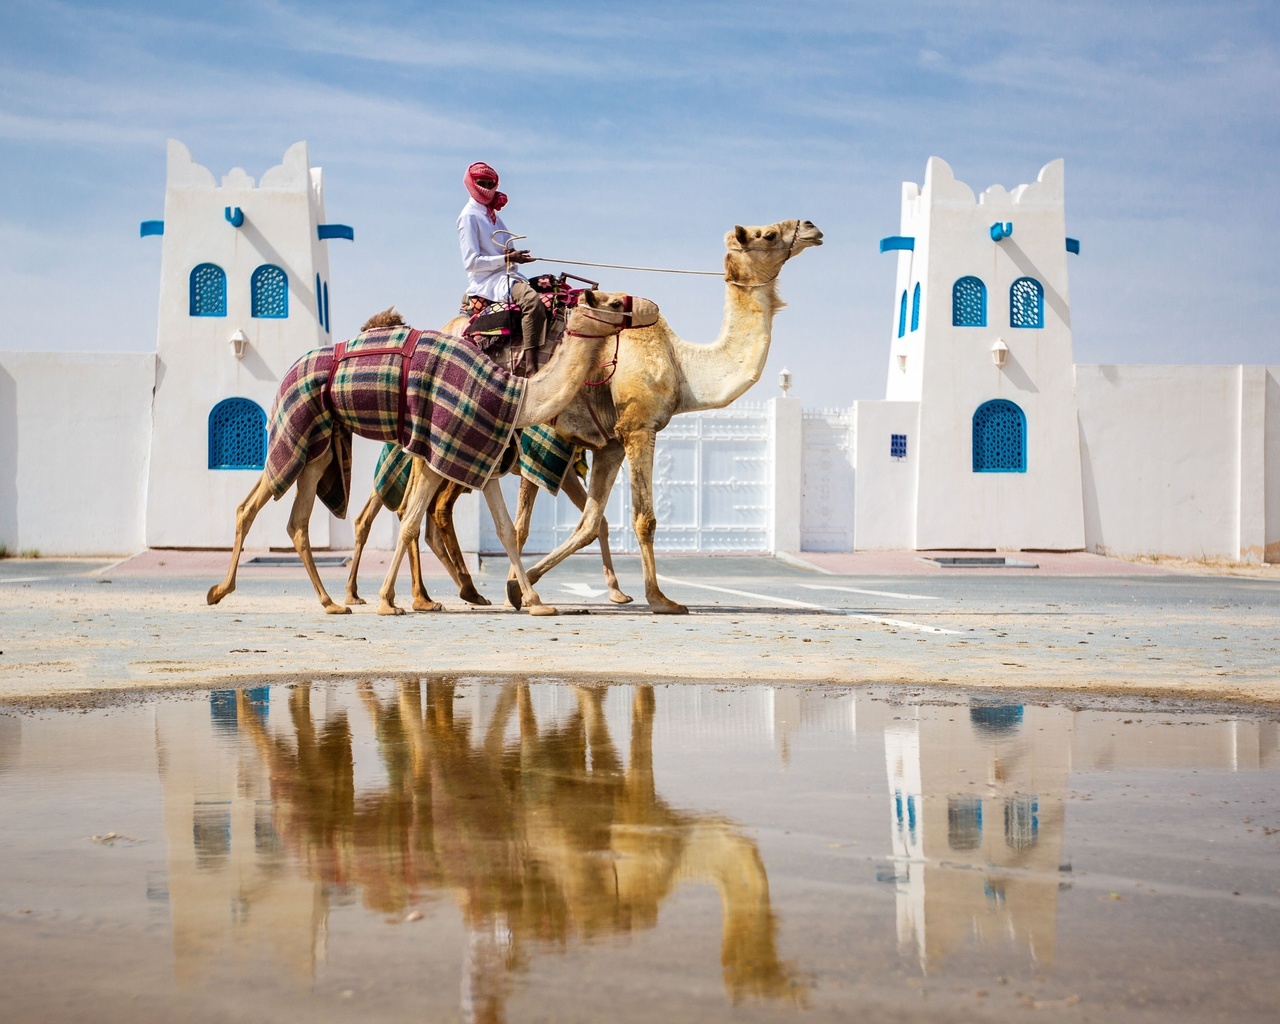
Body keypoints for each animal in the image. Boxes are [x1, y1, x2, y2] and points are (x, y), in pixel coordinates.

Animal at [207, 291, 660, 619]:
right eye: (613, 302)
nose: (650, 308)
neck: (515, 396)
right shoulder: (438, 447)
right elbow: (409, 522)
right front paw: (388, 602)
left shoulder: (482, 457)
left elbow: (504, 530)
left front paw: (535, 602)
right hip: (298, 429)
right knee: (254, 503)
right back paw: (221, 591)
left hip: (321, 445)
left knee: (299, 521)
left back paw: (333, 602)